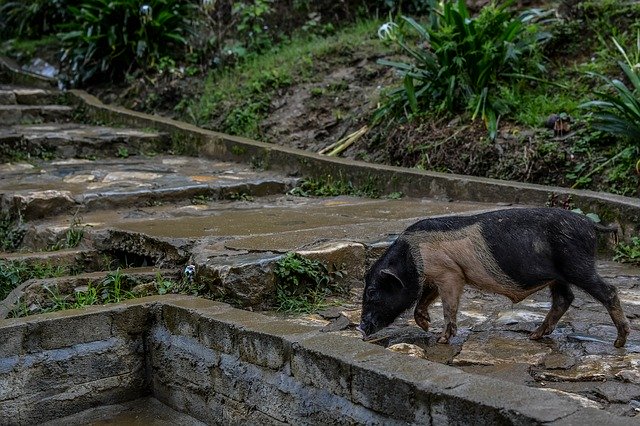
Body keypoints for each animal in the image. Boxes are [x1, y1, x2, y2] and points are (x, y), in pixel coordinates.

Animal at [358, 208, 632, 348]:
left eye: (371, 292)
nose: (361, 328)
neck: (413, 258)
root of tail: (590, 224)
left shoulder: (451, 274)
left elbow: (448, 306)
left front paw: (440, 338)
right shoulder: (436, 276)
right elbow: (423, 300)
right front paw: (425, 324)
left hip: (577, 265)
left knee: (608, 291)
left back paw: (619, 342)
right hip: (559, 276)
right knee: (564, 299)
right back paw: (534, 336)